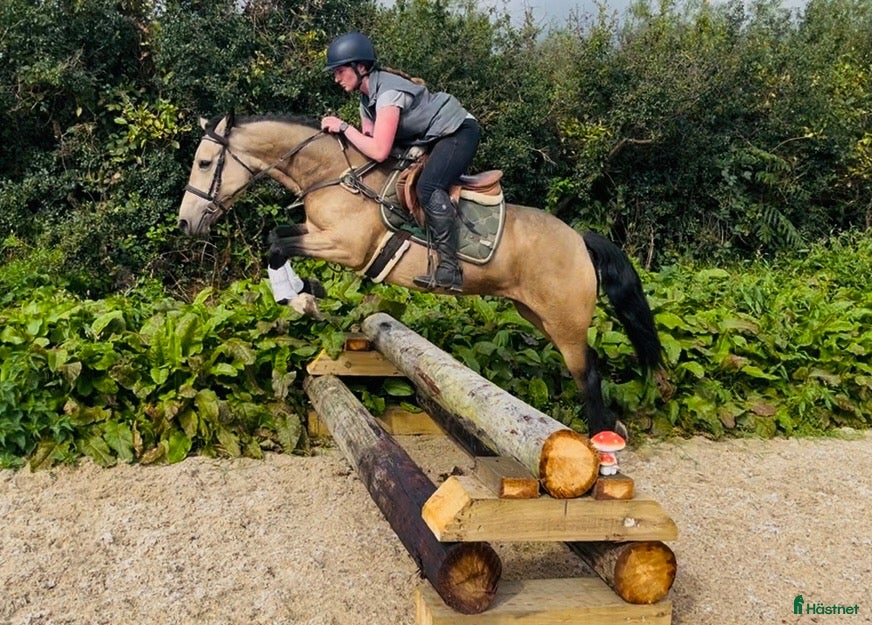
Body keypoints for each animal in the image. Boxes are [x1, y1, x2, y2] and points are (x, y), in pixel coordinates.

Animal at [177, 113, 665, 435]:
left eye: (204, 163)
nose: (185, 223)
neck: (334, 174)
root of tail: (579, 239)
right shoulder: (317, 233)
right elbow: (276, 239)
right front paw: (304, 293)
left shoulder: (346, 247)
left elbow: (277, 246)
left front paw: (304, 299)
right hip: (538, 315)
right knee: (588, 364)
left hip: (563, 321)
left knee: (588, 373)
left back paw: (600, 440)